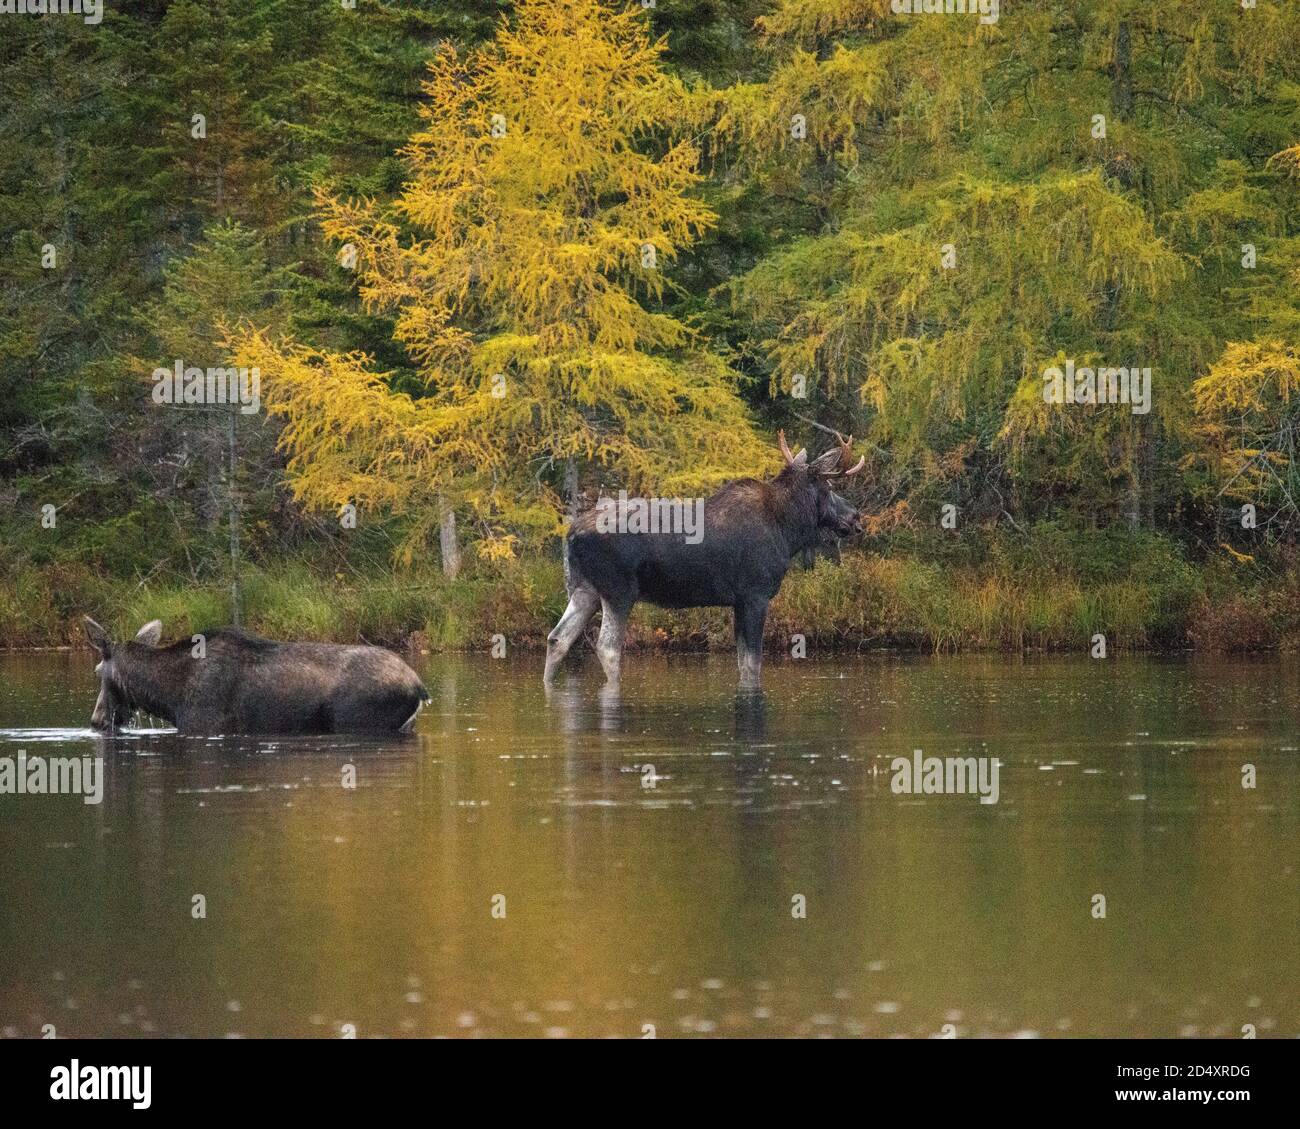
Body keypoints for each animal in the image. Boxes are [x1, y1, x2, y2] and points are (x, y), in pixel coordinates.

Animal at [82, 613, 431, 738]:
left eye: (98, 671)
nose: (96, 720)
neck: (169, 698)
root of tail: (419, 687)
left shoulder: (205, 725)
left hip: (360, 722)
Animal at [546, 429, 863, 686]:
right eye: (830, 489)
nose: (855, 517)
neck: (788, 531)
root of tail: (572, 534)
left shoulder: (738, 601)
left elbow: (743, 664)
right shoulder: (756, 595)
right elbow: (753, 664)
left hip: (584, 589)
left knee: (557, 639)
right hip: (618, 591)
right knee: (607, 647)